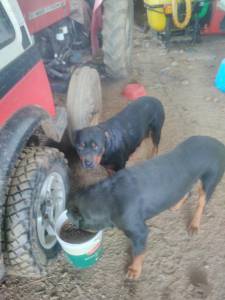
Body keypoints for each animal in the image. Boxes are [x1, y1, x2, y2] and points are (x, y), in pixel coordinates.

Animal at [66, 137, 225, 280]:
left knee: (201, 203)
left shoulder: (140, 231)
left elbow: (138, 252)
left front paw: (134, 271)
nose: (67, 214)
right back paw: (176, 205)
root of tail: (219, 144)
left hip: (210, 180)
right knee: (187, 190)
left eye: (78, 225)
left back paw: (194, 225)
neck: (109, 197)